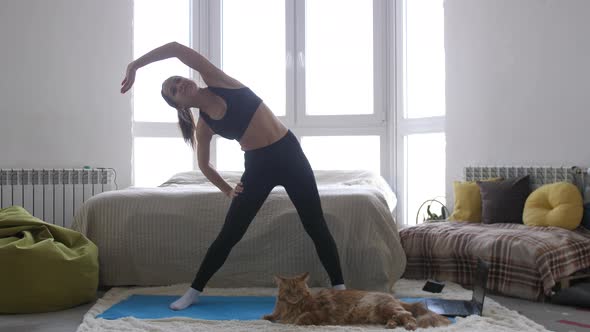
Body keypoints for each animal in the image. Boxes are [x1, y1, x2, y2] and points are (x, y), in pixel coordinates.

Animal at [264, 272, 454, 330]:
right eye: (288, 291)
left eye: (298, 290)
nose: (294, 296)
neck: (291, 307)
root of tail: (393, 297)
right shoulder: (279, 311)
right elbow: (271, 316)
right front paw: (267, 318)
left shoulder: (320, 312)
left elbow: (302, 318)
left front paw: (295, 321)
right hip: (384, 312)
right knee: (398, 317)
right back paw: (391, 325)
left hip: (387, 308)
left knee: (408, 315)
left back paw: (409, 326)